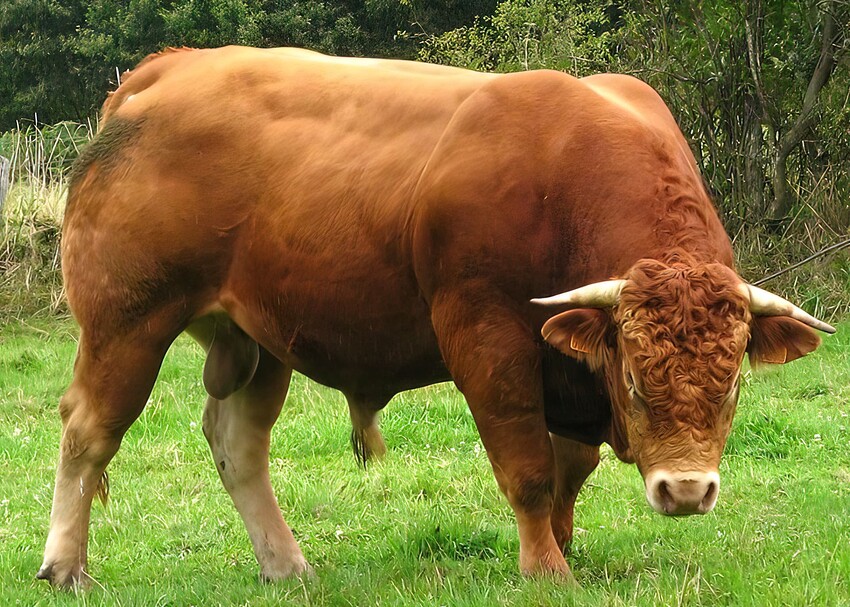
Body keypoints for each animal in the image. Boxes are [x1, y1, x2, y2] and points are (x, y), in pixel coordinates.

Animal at [38, 46, 834, 588]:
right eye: (637, 379)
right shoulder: (488, 339)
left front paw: (564, 542)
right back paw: (65, 565)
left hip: (258, 338)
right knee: (88, 431)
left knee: (237, 443)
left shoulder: (566, 361)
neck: (566, 177)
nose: (687, 491)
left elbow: (570, 467)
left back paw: (287, 565)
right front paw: (546, 568)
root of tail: (168, 70)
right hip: (126, 322)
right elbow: (529, 467)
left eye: (733, 384)